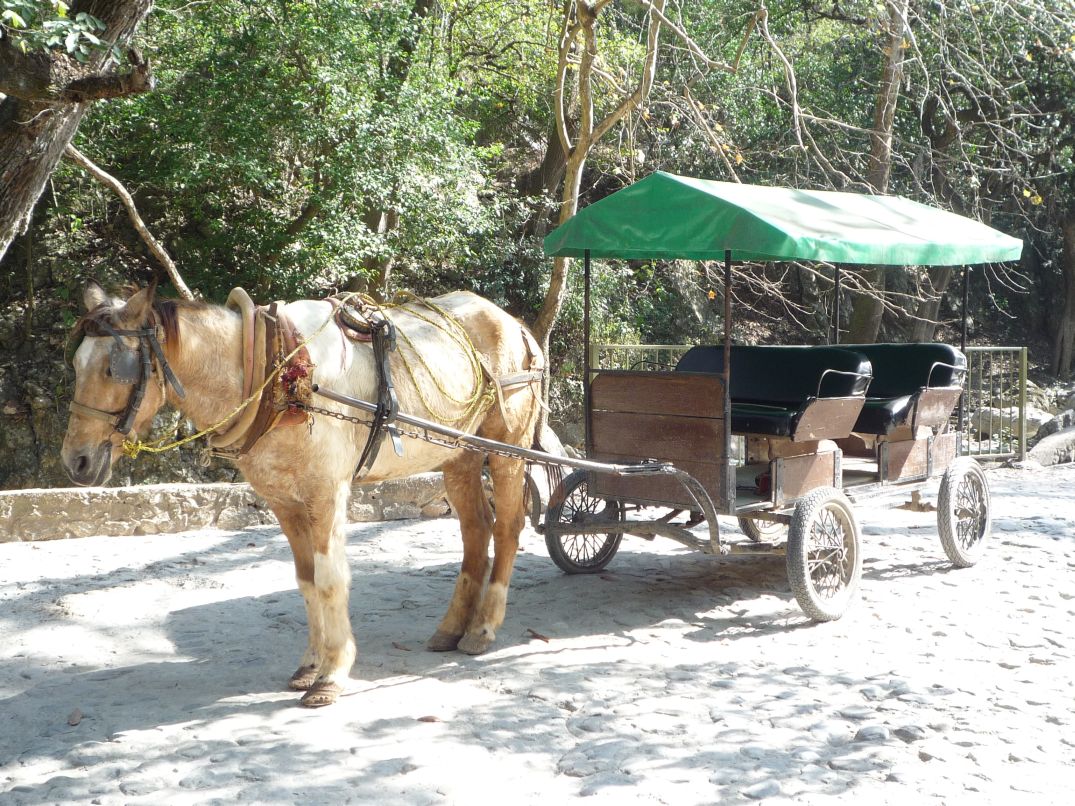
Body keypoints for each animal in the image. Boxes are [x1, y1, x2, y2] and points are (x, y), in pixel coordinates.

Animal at [61, 282, 544, 707]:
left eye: (112, 369)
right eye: (76, 366)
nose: (75, 461)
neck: (273, 373)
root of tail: (517, 326)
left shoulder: (326, 494)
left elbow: (331, 580)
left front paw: (333, 674)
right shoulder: (285, 501)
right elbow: (307, 579)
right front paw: (311, 666)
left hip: (507, 449)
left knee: (507, 529)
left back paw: (482, 629)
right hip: (461, 456)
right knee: (475, 531)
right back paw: (452, 629)